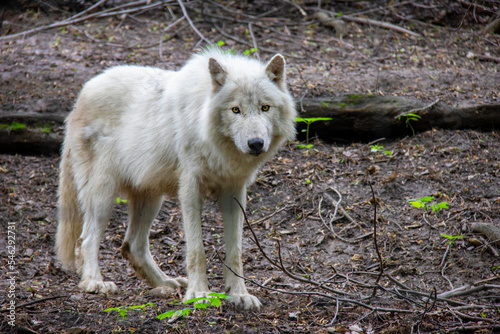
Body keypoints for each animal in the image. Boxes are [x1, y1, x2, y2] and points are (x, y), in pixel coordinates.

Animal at [55, 48, 296, 310]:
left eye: (265, 108)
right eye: (235, 110)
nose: (256, 144)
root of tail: (82, 94)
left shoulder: (234, 192)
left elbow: (235, 252)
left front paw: (238, 294)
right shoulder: (190, 189)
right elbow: (197, 250)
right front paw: (200, 294)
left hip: (151, 198)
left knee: (132, 246)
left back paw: (166, 283)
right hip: (103, 195)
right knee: (86, 239)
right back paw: (94, 282)